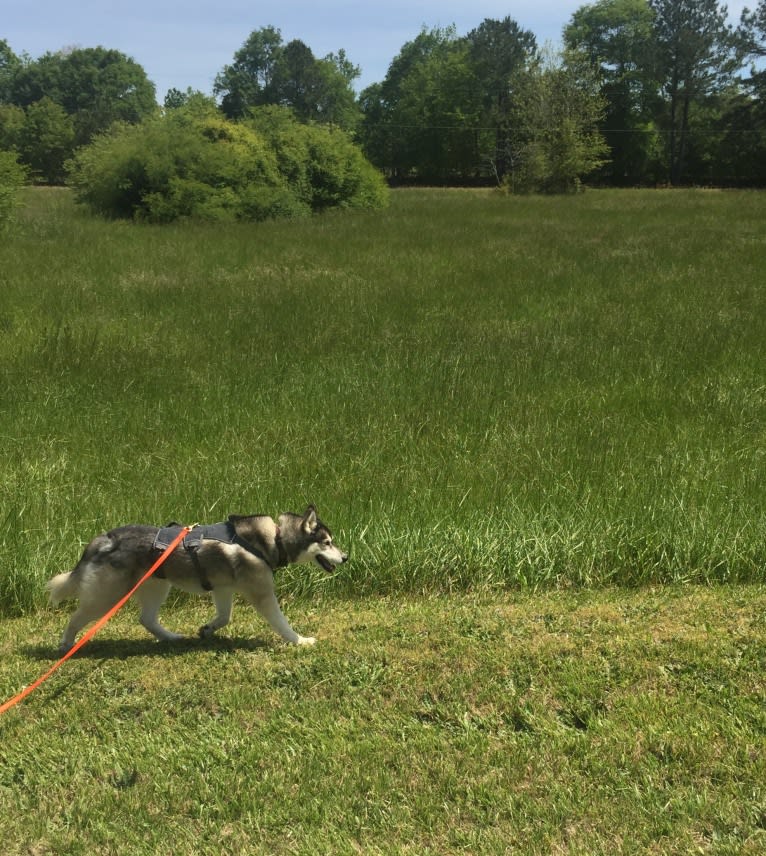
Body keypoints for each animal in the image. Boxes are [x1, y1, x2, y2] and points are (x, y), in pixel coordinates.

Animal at [48, 504, 348, 652]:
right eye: (327, 542)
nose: (345, 558)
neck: (274, 538)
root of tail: (105, 539)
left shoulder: (223, 588)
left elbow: (224, 617)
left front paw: (207, 629)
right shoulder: (261, 593)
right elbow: (282, 623)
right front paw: (299, 641)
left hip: (157, 586)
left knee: (146, 619)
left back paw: (170, 638)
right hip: (108, 596)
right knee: (76, 617)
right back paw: (65, 644)